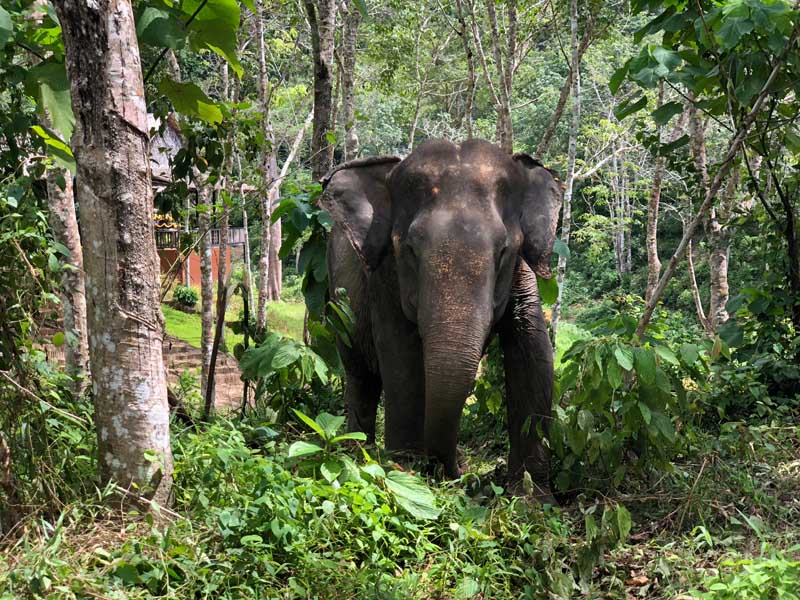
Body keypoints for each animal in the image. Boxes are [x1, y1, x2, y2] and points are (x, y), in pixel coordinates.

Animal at [318, 138, 564, 500]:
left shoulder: (522, 275)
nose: (456, 473)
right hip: (340, 301)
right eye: (410, 250)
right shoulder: (385, 277)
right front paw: (406, 474)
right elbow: (401, 356)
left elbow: (533, 350)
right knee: (361, 376)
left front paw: (529, 497)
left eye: (503, 251)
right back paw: (357, 451)